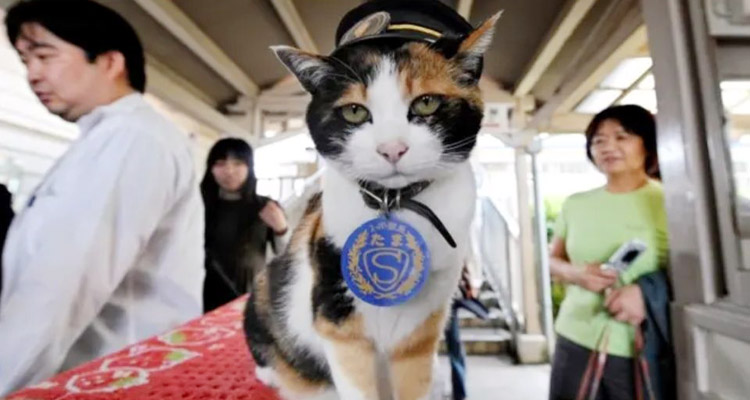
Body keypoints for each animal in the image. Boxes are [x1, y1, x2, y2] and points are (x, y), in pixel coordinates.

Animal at [244, 12, 499, 400]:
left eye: (426, 103)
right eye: (354, 111)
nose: (391, 148)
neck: (398, 203)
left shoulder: (423, 326)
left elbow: (415, 380)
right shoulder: (338, 318)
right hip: (262, 293)